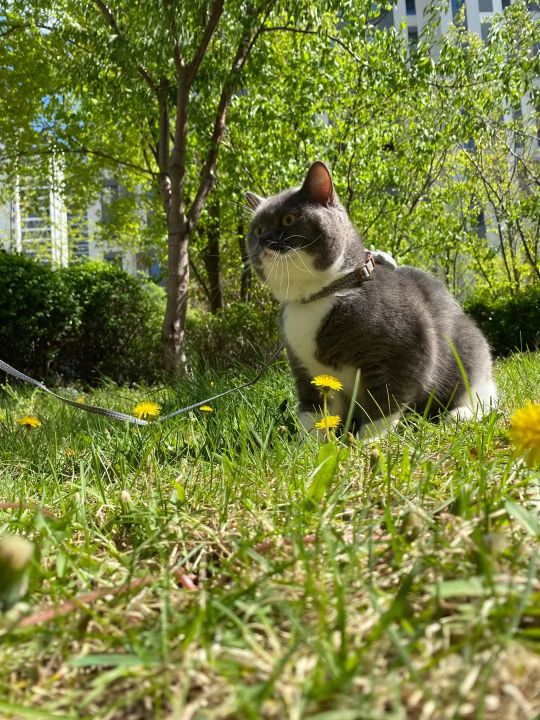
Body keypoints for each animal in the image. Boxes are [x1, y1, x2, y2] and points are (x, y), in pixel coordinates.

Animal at [245, 160, 498, 436]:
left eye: (288, 218)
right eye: (256, 229)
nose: (264, 240)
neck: (317, 297)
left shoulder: (404, 351)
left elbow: (385, 401)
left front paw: (367, 440)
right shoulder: (306, 370)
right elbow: (315, 413)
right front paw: (306, 444)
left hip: (469, 350)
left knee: (483, 393)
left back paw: (459, 415)